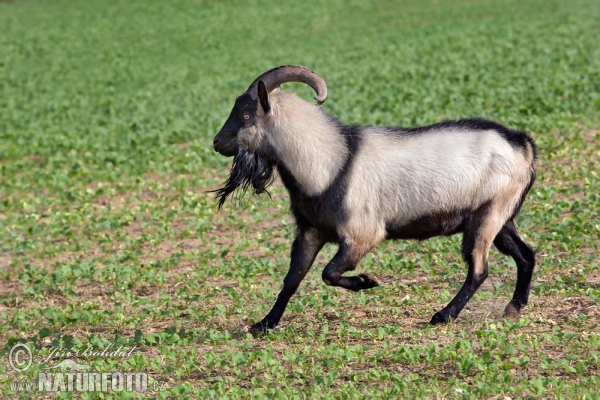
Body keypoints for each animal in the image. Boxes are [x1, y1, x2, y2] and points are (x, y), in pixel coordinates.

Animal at [213, 65, 536, 332]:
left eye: (246, 115)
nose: (217, 143)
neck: (333, 163)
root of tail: (523, 145)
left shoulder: (362, 234)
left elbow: (329, 273)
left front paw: (366, 282)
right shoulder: (310, 232)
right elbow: (292, 279)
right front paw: (263, 324)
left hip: (487, 215)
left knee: (479, 269)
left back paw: (442, 316)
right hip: (502, 217)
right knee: (526, 254)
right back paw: (513, 308)